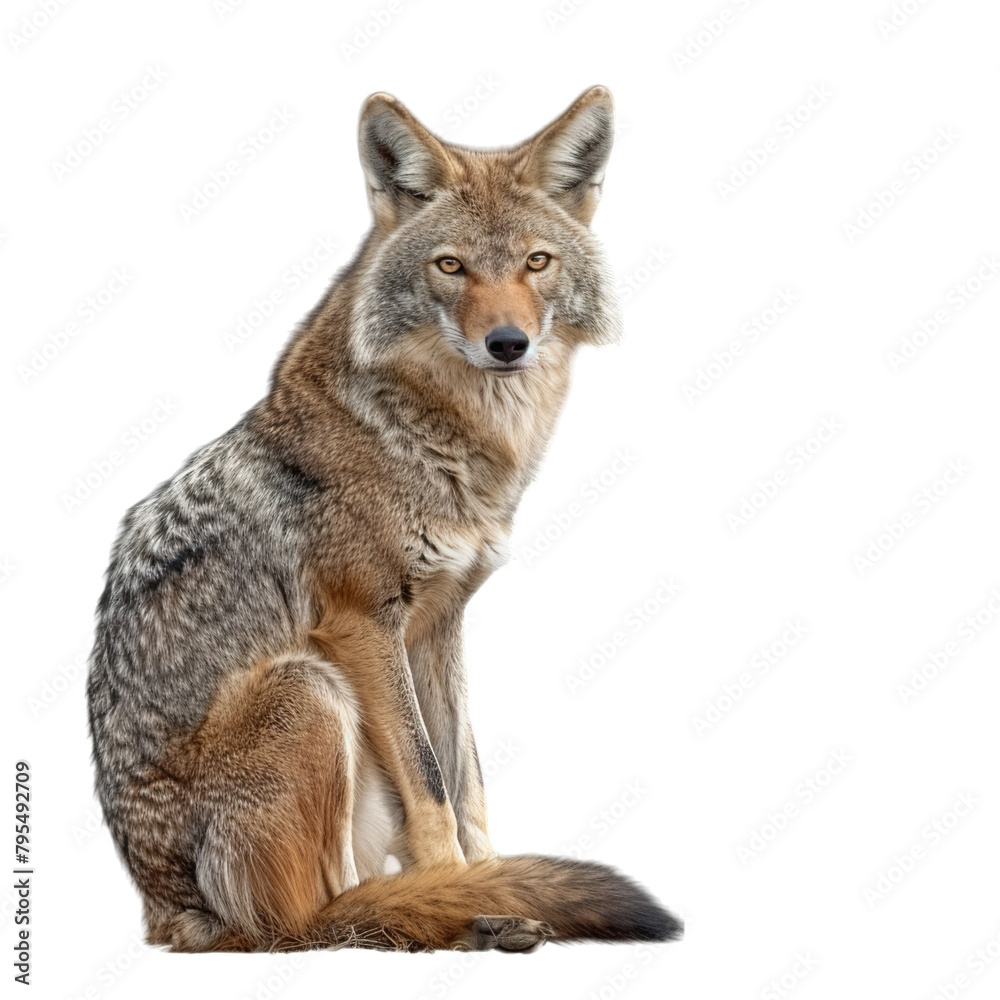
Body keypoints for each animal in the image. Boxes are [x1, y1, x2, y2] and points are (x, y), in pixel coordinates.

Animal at [86, 85, 683, 952]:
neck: (437, 443)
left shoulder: (438, 624)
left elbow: (467, 783)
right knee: (313, 920)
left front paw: (485, 879)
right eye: (451, 265)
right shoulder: (364, 623)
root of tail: (162, 914)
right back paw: (429, 916)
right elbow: (430, 785)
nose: (509, 343)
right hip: (310, 686)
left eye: (536, 262)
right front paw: (460, 887)